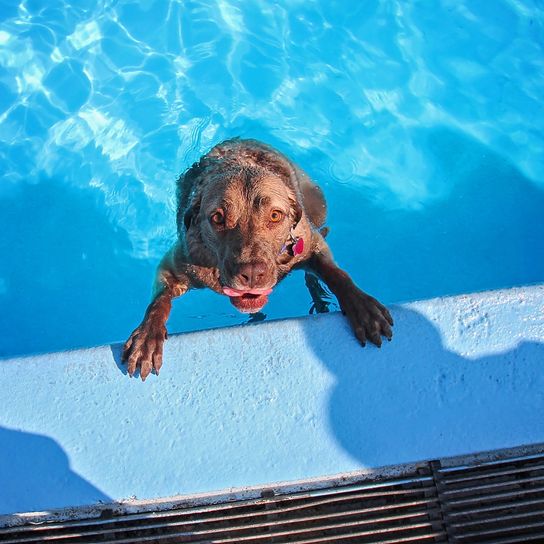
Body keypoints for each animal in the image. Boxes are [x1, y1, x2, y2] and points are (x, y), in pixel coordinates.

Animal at [124, 138, 392, 380]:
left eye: (275, 215)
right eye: (217, 218)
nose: (252, 273)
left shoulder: (311, 243)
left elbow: (336, 274)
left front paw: (362, 306)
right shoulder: (177, 265)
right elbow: (160, 301)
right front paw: (147, 335)